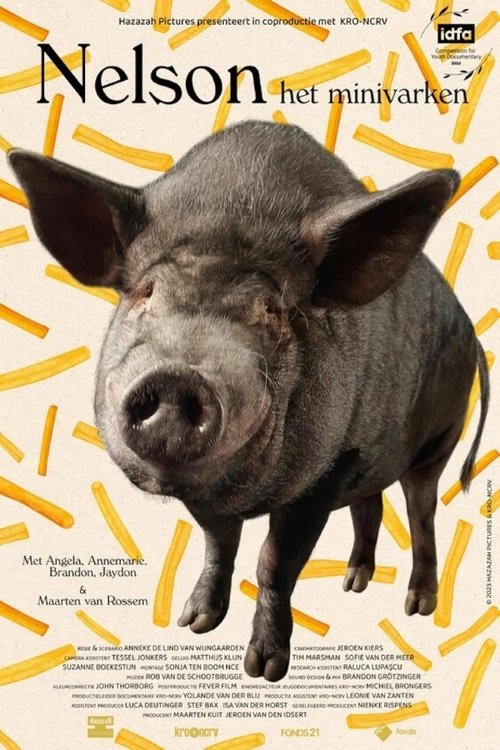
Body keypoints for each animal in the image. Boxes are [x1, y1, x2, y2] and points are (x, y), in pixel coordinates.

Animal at [8, 120, 489, 682]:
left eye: (272, 311)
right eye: (145, 293)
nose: (177, 376)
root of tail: (472, 330)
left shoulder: (328, 470)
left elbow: (274, 562)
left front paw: (264, 670)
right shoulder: (246, 491)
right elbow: (220, 544)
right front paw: (192, 623)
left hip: (439, 439)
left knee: (421, 509)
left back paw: (418, 607)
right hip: (372, 453)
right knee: (370, 504)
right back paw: (353, 582)